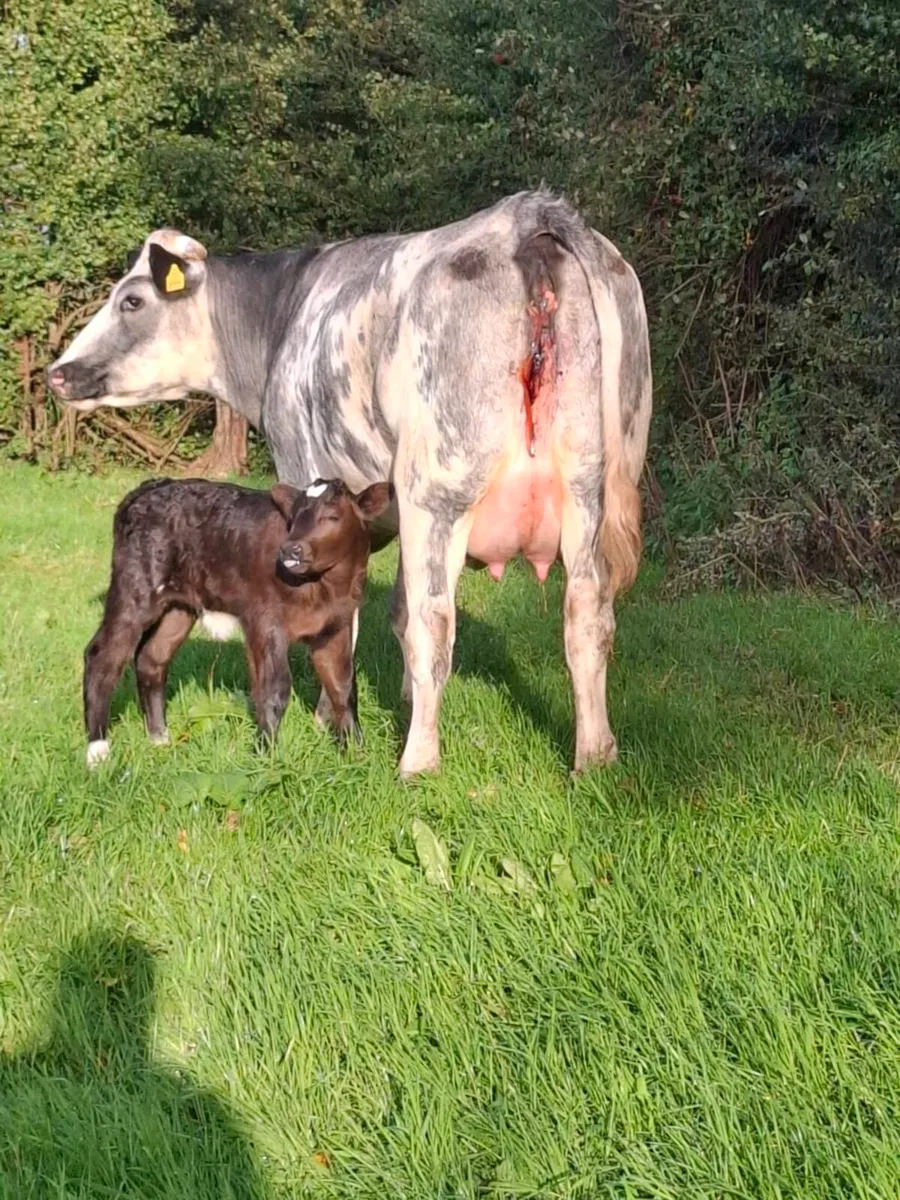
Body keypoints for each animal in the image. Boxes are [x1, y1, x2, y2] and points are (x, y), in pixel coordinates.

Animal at [82, 476, 392, 766]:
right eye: (294, 517)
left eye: (333, 516)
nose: (290, 550)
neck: (325, 587)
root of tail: (150, 486)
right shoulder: (265, 621)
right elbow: (273, 690)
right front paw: (267, 757)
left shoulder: (336, 625)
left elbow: (343, 687)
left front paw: (356, 754)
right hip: (134, 589)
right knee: (102, 656)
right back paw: (98, 752)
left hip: (178, 607)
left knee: (151, 658)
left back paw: (160, 739)